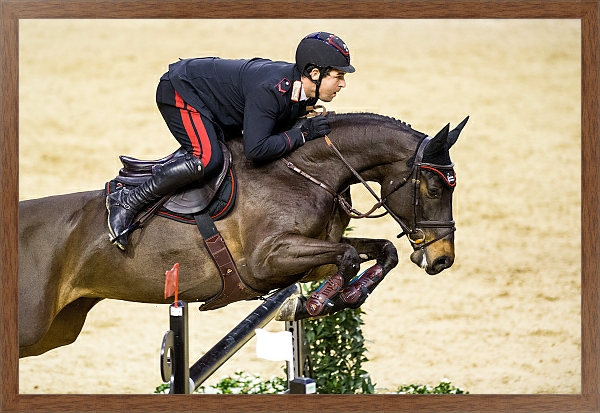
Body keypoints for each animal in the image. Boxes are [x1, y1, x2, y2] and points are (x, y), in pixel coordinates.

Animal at [18, 112, 466, 358]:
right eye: (434, 189)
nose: (442, 258)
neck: (306, 172)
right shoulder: (268, 261)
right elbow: (349, 256)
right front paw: (318, 302)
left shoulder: (308, 260)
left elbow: (380, 251)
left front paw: (348, 295)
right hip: (33, 327)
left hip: (56, 330)